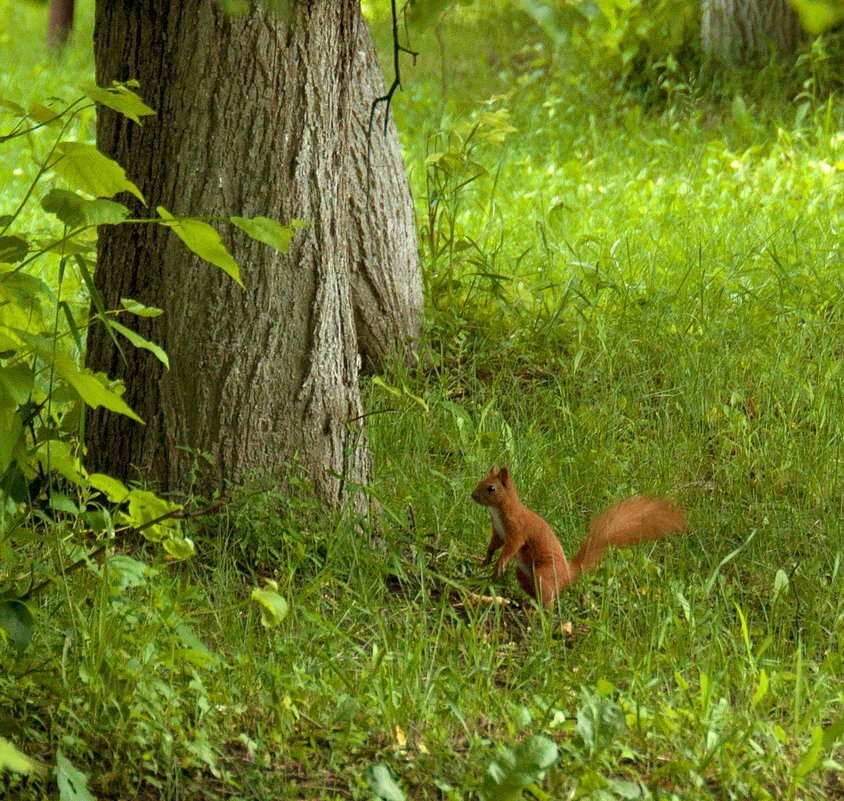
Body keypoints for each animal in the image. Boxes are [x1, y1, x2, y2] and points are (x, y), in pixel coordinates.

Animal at [472, 462, 688, 608]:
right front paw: (486, 559)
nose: (472, 496)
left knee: (549, 598)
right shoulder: (498, 532)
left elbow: (512, 546)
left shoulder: (517, 529)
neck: (499, 510)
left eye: (491, 488)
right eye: (480, 481)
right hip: (523, 574)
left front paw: (500, 562)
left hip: (544, 573)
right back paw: (528, 604)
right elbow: (494, 544)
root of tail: (568, 574)